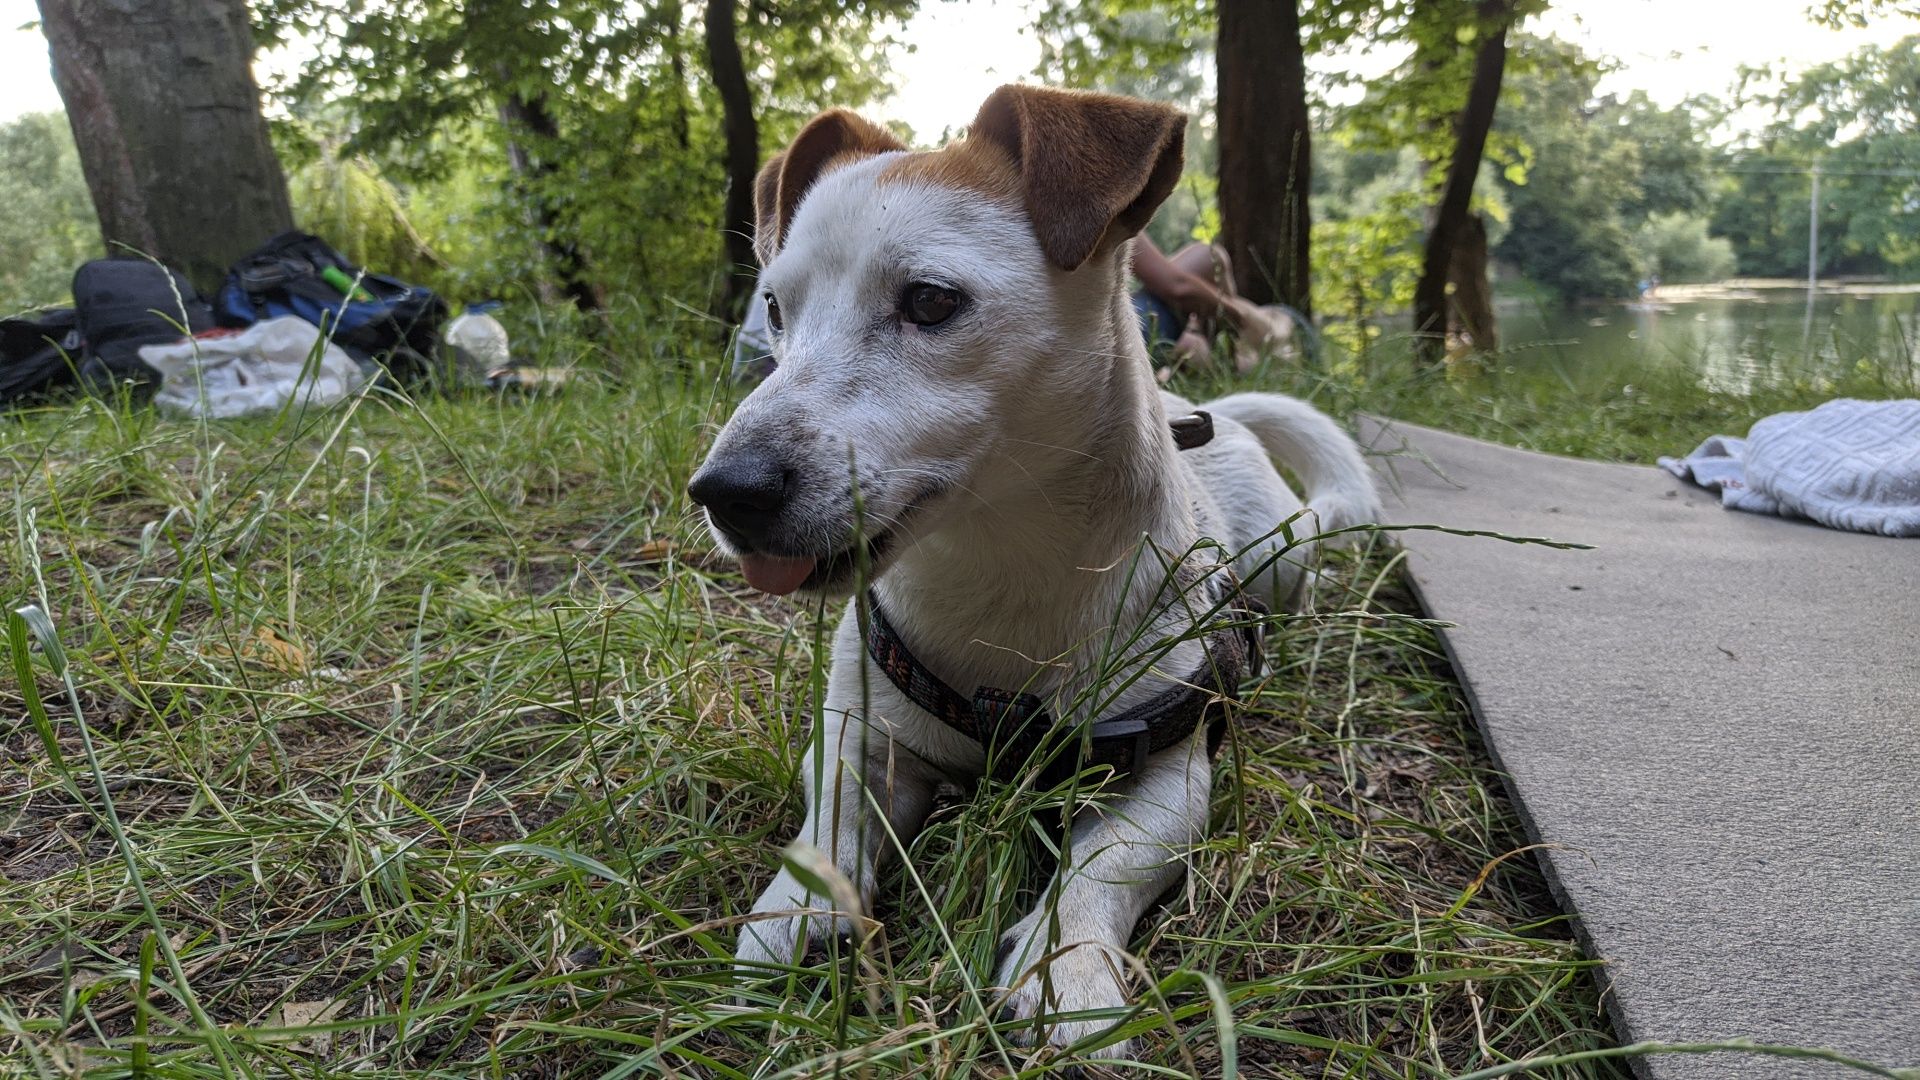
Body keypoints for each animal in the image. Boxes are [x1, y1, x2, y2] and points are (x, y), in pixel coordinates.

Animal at [691, 85, 1382, 1060]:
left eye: (930, 301)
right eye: (776, 311)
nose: (725, 491)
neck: (997, 570)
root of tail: (1212, 412)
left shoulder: (1168, 769)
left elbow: (1109, 863)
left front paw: (1067, 966)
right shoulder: (862, 733)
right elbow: (828, 815)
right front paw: (798, 911)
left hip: (1279, 566)